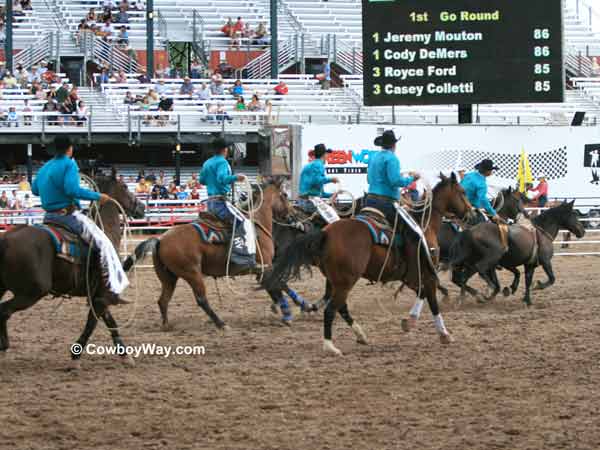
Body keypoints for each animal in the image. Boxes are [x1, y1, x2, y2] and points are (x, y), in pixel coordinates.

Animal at [0, 169, 146, 366]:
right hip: (31, 293)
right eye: (124, 186)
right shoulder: (102, 294)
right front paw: (76, 354)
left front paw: (124, 354)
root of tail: (6, 239)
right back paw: (4, 347)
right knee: (4, 311)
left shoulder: (98, 295)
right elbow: (92, 322)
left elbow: (109, 321)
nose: (142, 207)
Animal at [123, 178, 290, 330]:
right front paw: (285, 311)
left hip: (169, 278)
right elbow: (277, 284)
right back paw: (221, 323)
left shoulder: (262, 269)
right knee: (201, 299)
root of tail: (160, 240)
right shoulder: (265, 266)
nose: (291, 214)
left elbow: (276, 285)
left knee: (163, 300)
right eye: (284, 195)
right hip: (192, 273)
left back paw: (166, 325)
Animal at [264, 173, 472, 356]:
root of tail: (326, 233)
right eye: (462, 191)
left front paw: (410, 322)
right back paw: (330, 346)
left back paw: (360, 334)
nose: (471, 213)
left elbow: (423, 293)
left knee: (340, 307)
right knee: (331, 309)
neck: (424, 225)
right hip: (346, 281)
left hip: (335, 280)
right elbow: (432, 300)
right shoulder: (425, 272)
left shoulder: (412, 276)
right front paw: (443, 333)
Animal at [452, 201, 584, 304]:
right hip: (490, 258)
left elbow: (527, 280)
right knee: (479, 270)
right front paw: (538, 286)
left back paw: (466, 298)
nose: (582, 231)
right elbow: (551, 279)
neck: (542, 231)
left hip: (472, 262)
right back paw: (485, 292)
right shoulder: (546, 262)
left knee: (462, 278)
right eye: (574, 214)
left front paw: (527, 300)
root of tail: (470, 231)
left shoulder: (529, 265)